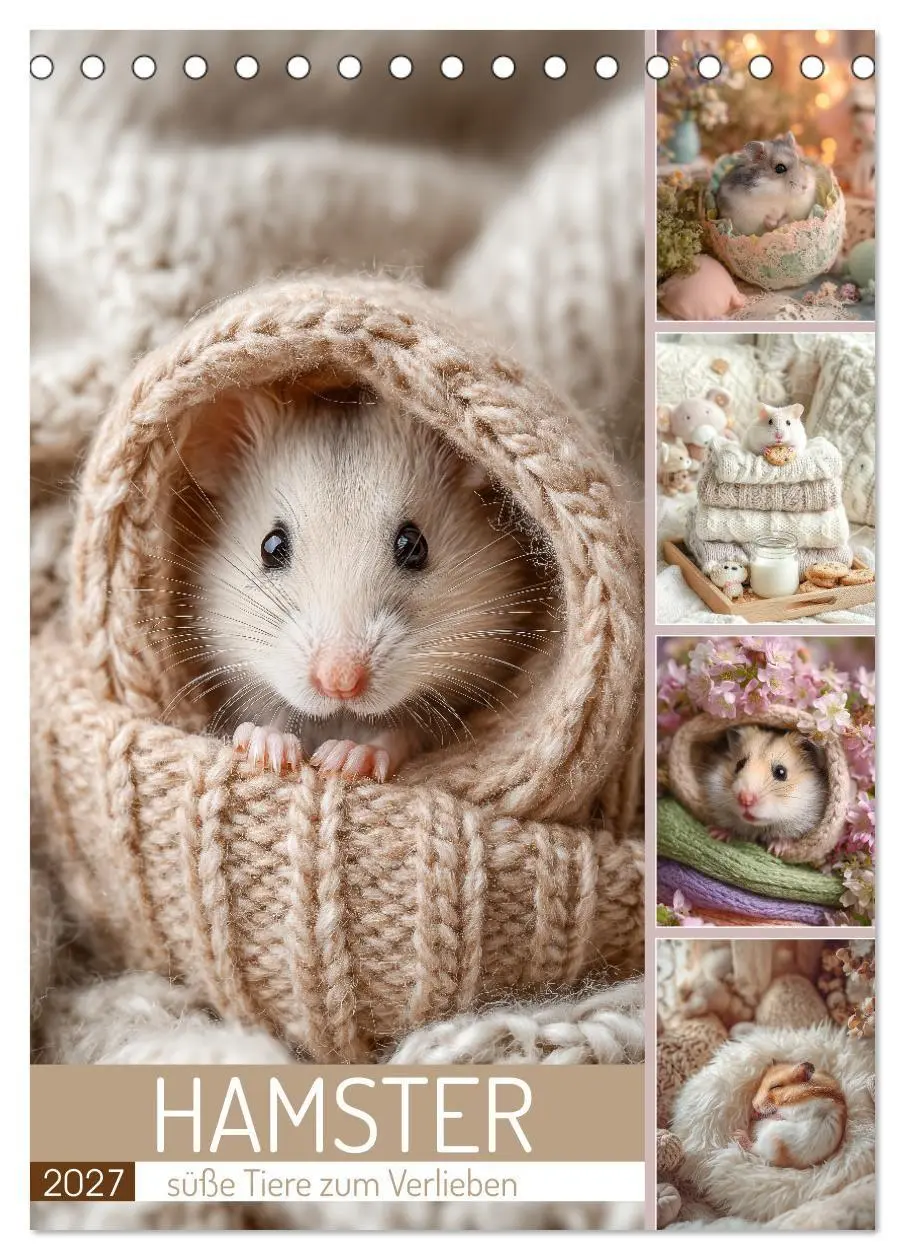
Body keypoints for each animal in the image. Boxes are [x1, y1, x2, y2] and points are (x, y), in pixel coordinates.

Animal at [178, 392, 552, 782]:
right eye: (271, 546)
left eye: (413, 545)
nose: (340, 683)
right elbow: (274, 715)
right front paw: (266, 748)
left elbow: (401, 731)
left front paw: (345, 759)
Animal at [702, 725, 828, 856]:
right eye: (739, 765)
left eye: (781, 772)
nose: (745, 799)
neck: (758, 826)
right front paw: (715, 834)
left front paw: (777, 849)